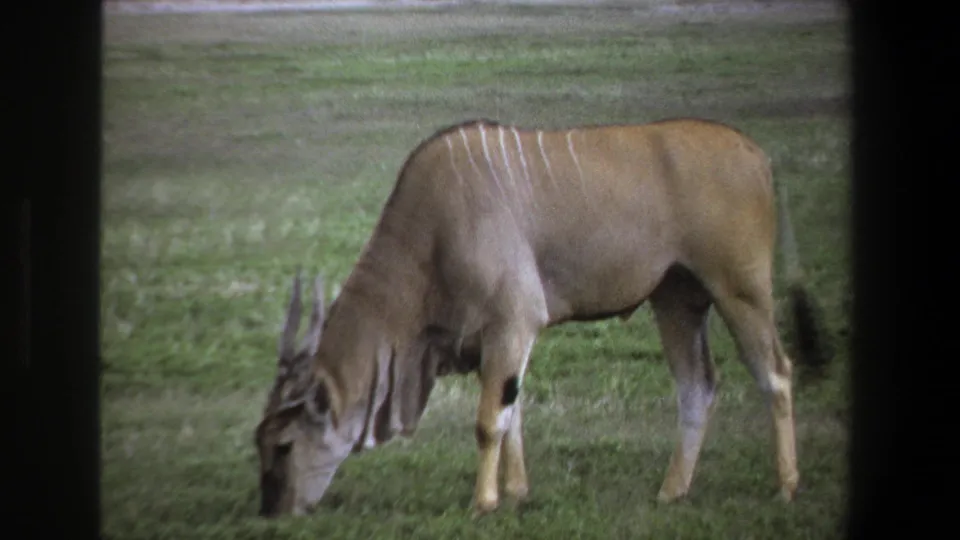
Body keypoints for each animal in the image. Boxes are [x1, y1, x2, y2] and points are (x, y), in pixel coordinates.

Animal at [253, 118, 829, 518]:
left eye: (282, 446)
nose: (272, 512)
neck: (431, 229)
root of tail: (758, 155)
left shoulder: (513, 324)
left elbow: (490, 421)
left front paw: (483, 502)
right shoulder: (496, 341)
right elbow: (513, 415)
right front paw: (517, 493)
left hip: (740, 291)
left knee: (776, 373)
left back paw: (786, 486)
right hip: (677, 300)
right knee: (697, 386)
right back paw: (671, 491)